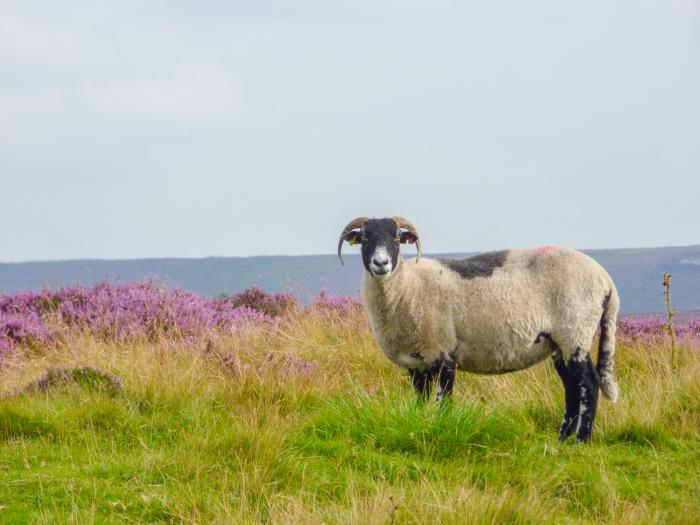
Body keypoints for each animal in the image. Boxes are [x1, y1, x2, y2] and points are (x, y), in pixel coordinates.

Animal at [338, 216, 616, 442]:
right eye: (364, 238)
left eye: (397, 238)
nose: (381, 263)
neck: (408, 287)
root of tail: (606, 280)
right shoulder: (417, 364)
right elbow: (419, 403)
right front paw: (419, 424)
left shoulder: (444, 354)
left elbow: (443, 402)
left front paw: (442, 429)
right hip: (559, 344)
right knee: (572, 389)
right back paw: (562, 440)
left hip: (575, 333)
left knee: (589, 384)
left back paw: (580, 441)